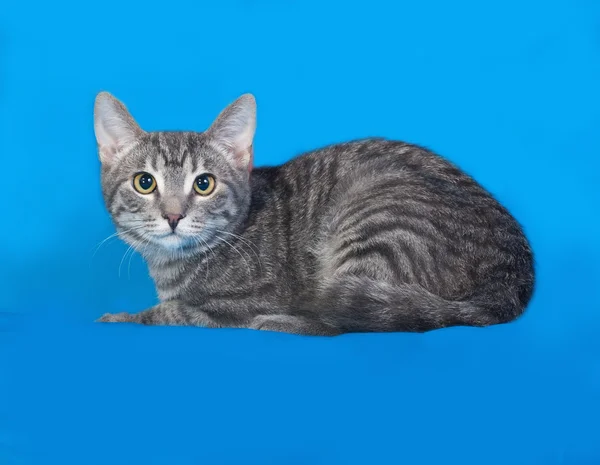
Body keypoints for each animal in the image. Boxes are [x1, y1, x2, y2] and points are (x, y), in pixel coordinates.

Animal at [94, 92, 536, 336]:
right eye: (145, 182)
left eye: (204, 184)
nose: (173, 216)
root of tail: (515, 272)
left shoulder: (242, 302)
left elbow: (174, 313)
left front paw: (122, 317)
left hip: (379, 224)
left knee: (346, 320)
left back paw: (280, 322)